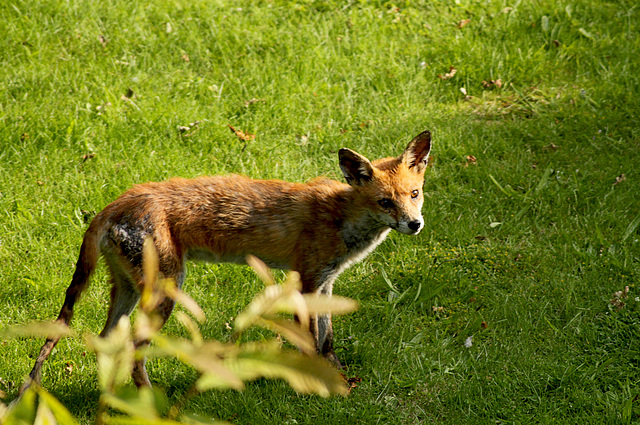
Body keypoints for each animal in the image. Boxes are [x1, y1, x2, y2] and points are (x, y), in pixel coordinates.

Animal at [20, 129, 432, 390]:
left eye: (414, 194)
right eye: (385, 202)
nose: (415, 224)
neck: (341, 217)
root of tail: (112, 204)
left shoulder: (325, 282)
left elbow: (327, 340)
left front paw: (339, 377)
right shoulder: (306, 280)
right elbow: (309, 341)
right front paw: (317, 385)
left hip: (127, 290)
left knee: (107, 344)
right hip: (167, 291)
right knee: (135, 351)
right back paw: (148, 400)